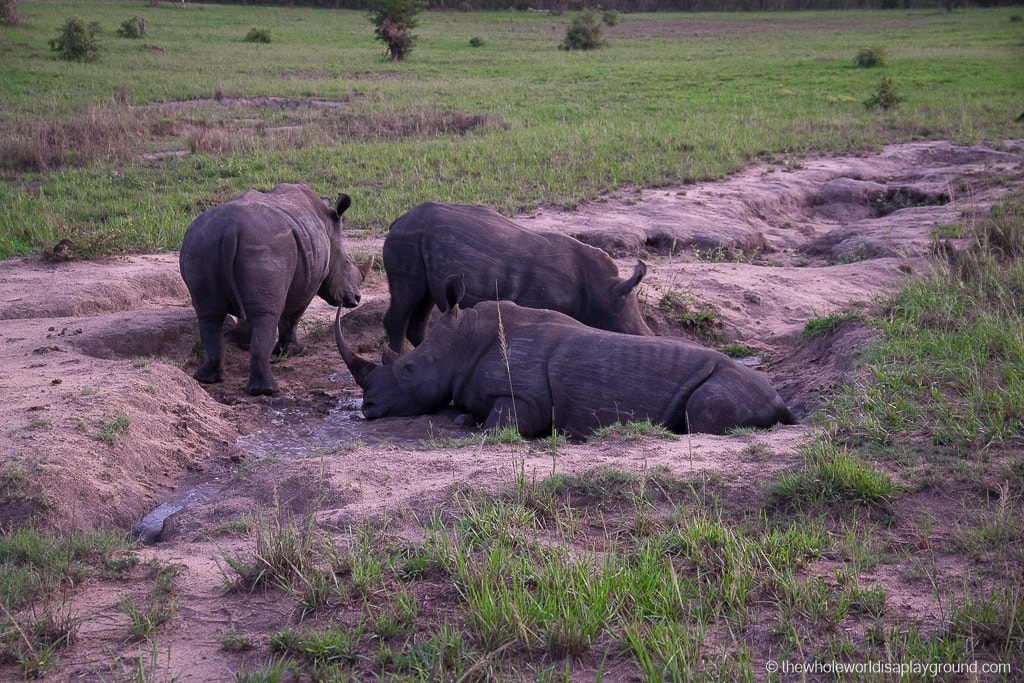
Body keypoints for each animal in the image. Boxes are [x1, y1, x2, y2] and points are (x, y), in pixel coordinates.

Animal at [182, 181, 370, 395]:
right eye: (347, 264)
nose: (356, 299)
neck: (328, 227)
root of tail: (230, 230)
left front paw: (241, 341)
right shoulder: (309, 280)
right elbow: (292, 315)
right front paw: (294, 351)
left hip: (201, 245)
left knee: (208, 314)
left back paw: (207, 378)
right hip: (265, 248)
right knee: (267, 316)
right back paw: (266, 390)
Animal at [335, 276, 790, 438]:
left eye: (408, 368)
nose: (368, 407)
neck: (465, 341)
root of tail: (782, 401)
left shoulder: (526, 397)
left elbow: (501, 427)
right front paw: (463, 418)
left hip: (728, 385)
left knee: (704, 412)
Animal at [380, 201, 651, 352]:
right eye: (630, 334)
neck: (603, 293)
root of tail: (397, 221)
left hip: (418, 242)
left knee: (423, 301)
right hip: (407, 240)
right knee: (407, 297)